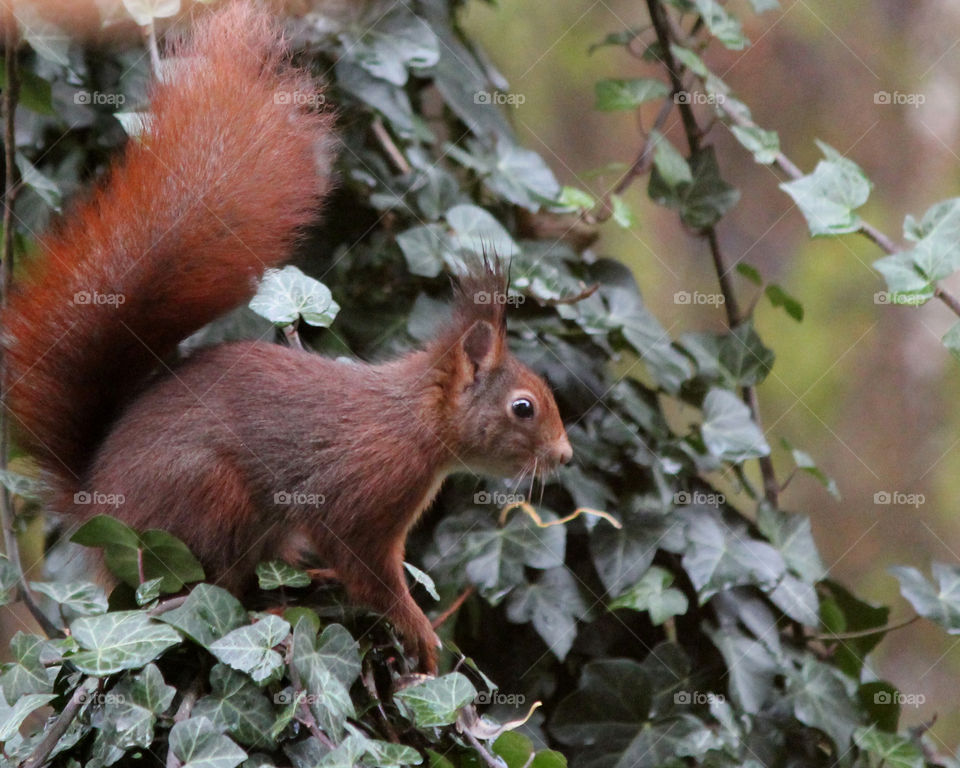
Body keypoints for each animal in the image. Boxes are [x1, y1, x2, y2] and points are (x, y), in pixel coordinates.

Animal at [1, 2, 572, 674]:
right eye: (523, 407)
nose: (564, 456)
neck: (415, 421)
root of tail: (95, 501)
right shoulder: (365, 493)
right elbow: (366, 568)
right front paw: (420, 632)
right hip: (208, 499)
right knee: (204, 585)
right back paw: (248, 611)